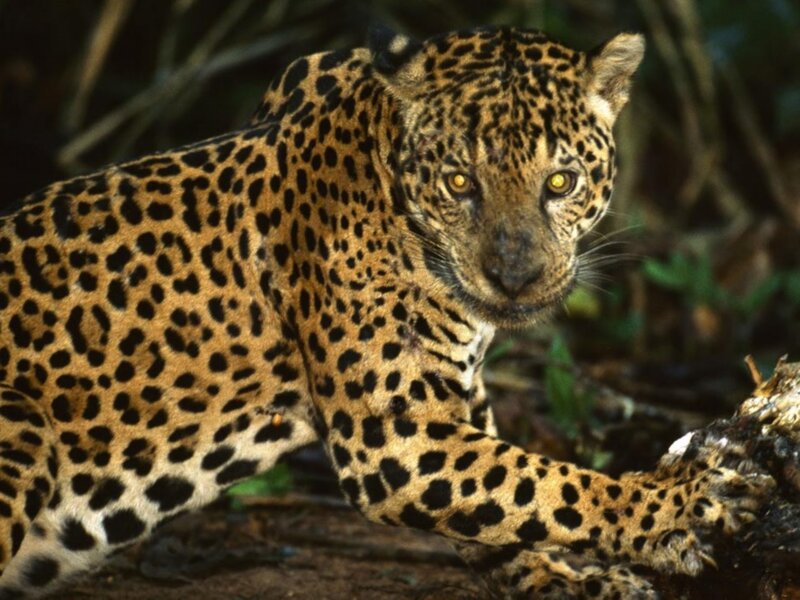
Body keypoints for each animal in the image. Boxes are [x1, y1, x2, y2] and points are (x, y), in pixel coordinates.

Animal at [0, 25, 773, 599]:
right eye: (460, 181)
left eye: (561, 182)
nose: (515, 280)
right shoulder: (393, 436)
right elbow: (546, 483)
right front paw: (676, 508)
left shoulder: (452, 396)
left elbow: (508, 504)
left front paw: (576, 582)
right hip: (23, 426)